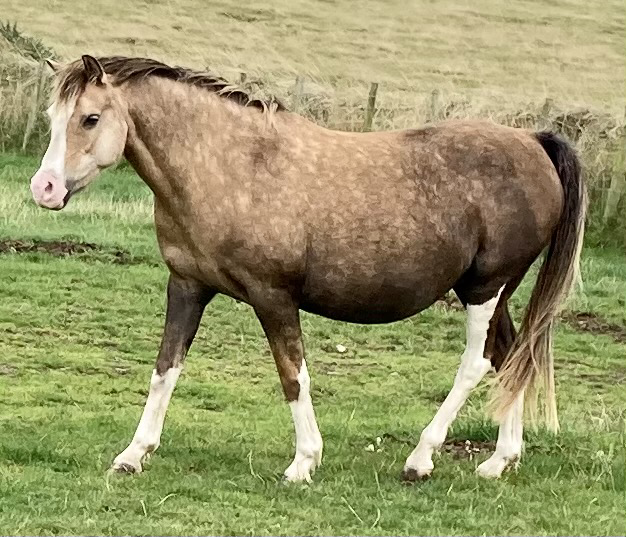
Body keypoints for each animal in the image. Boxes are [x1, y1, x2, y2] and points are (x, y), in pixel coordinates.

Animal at [29, 56, 584, 484]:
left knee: (477, 363)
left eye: (91, 118)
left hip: (485, 289)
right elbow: (166, 370)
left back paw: (421, 459)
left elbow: (292, 376)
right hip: (491, 292)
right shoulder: (187, 286)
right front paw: (133, 454)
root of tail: (534, 142)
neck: (233, 166)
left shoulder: (273, 297)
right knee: (511, 357)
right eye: (55, 116)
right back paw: (499, 461)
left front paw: (303, 463)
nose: (45, 188)